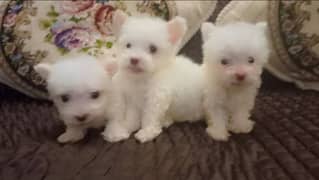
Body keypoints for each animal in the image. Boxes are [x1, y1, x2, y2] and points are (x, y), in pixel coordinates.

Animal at [101, 10, 204, 143]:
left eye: (153, 49)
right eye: (128, 45)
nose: (134, 59)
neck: (142, 79)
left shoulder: (156, 98)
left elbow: (150, 117)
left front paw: (147, 132)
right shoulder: (134, 102)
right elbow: (132, 116)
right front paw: (124, 127)